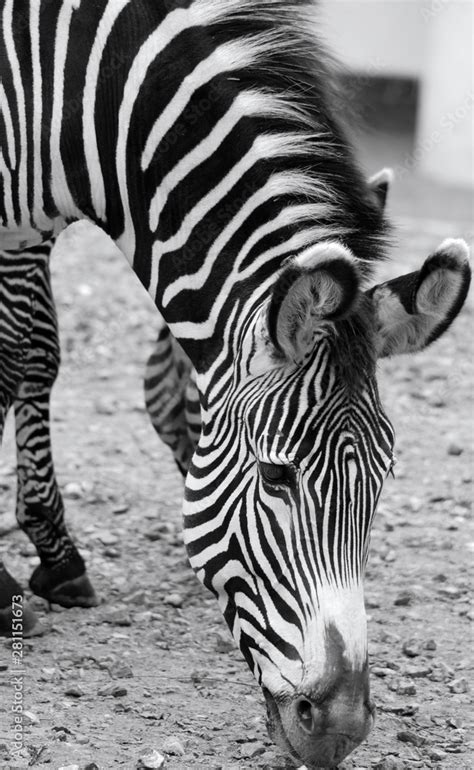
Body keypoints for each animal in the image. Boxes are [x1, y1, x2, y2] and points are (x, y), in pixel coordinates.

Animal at [0, 3, 468, 764]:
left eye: (383, 480)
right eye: (275, 477)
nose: (339, 728)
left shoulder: (24, 227)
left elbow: (31, 353)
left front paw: (51, 552)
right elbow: (17, 354)